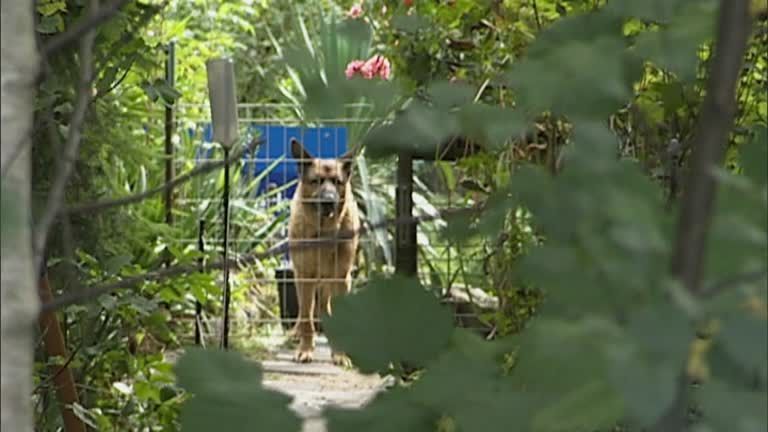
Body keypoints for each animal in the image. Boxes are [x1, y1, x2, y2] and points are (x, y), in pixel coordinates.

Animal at [288, 138, 360, 364]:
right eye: (316, 181)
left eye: (337, 182)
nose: (329, 200)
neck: (324, 233)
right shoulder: (305, 276)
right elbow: (306, 318)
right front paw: (305, 349)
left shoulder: (341, 277)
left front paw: (339, 354)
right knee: (305, 310)